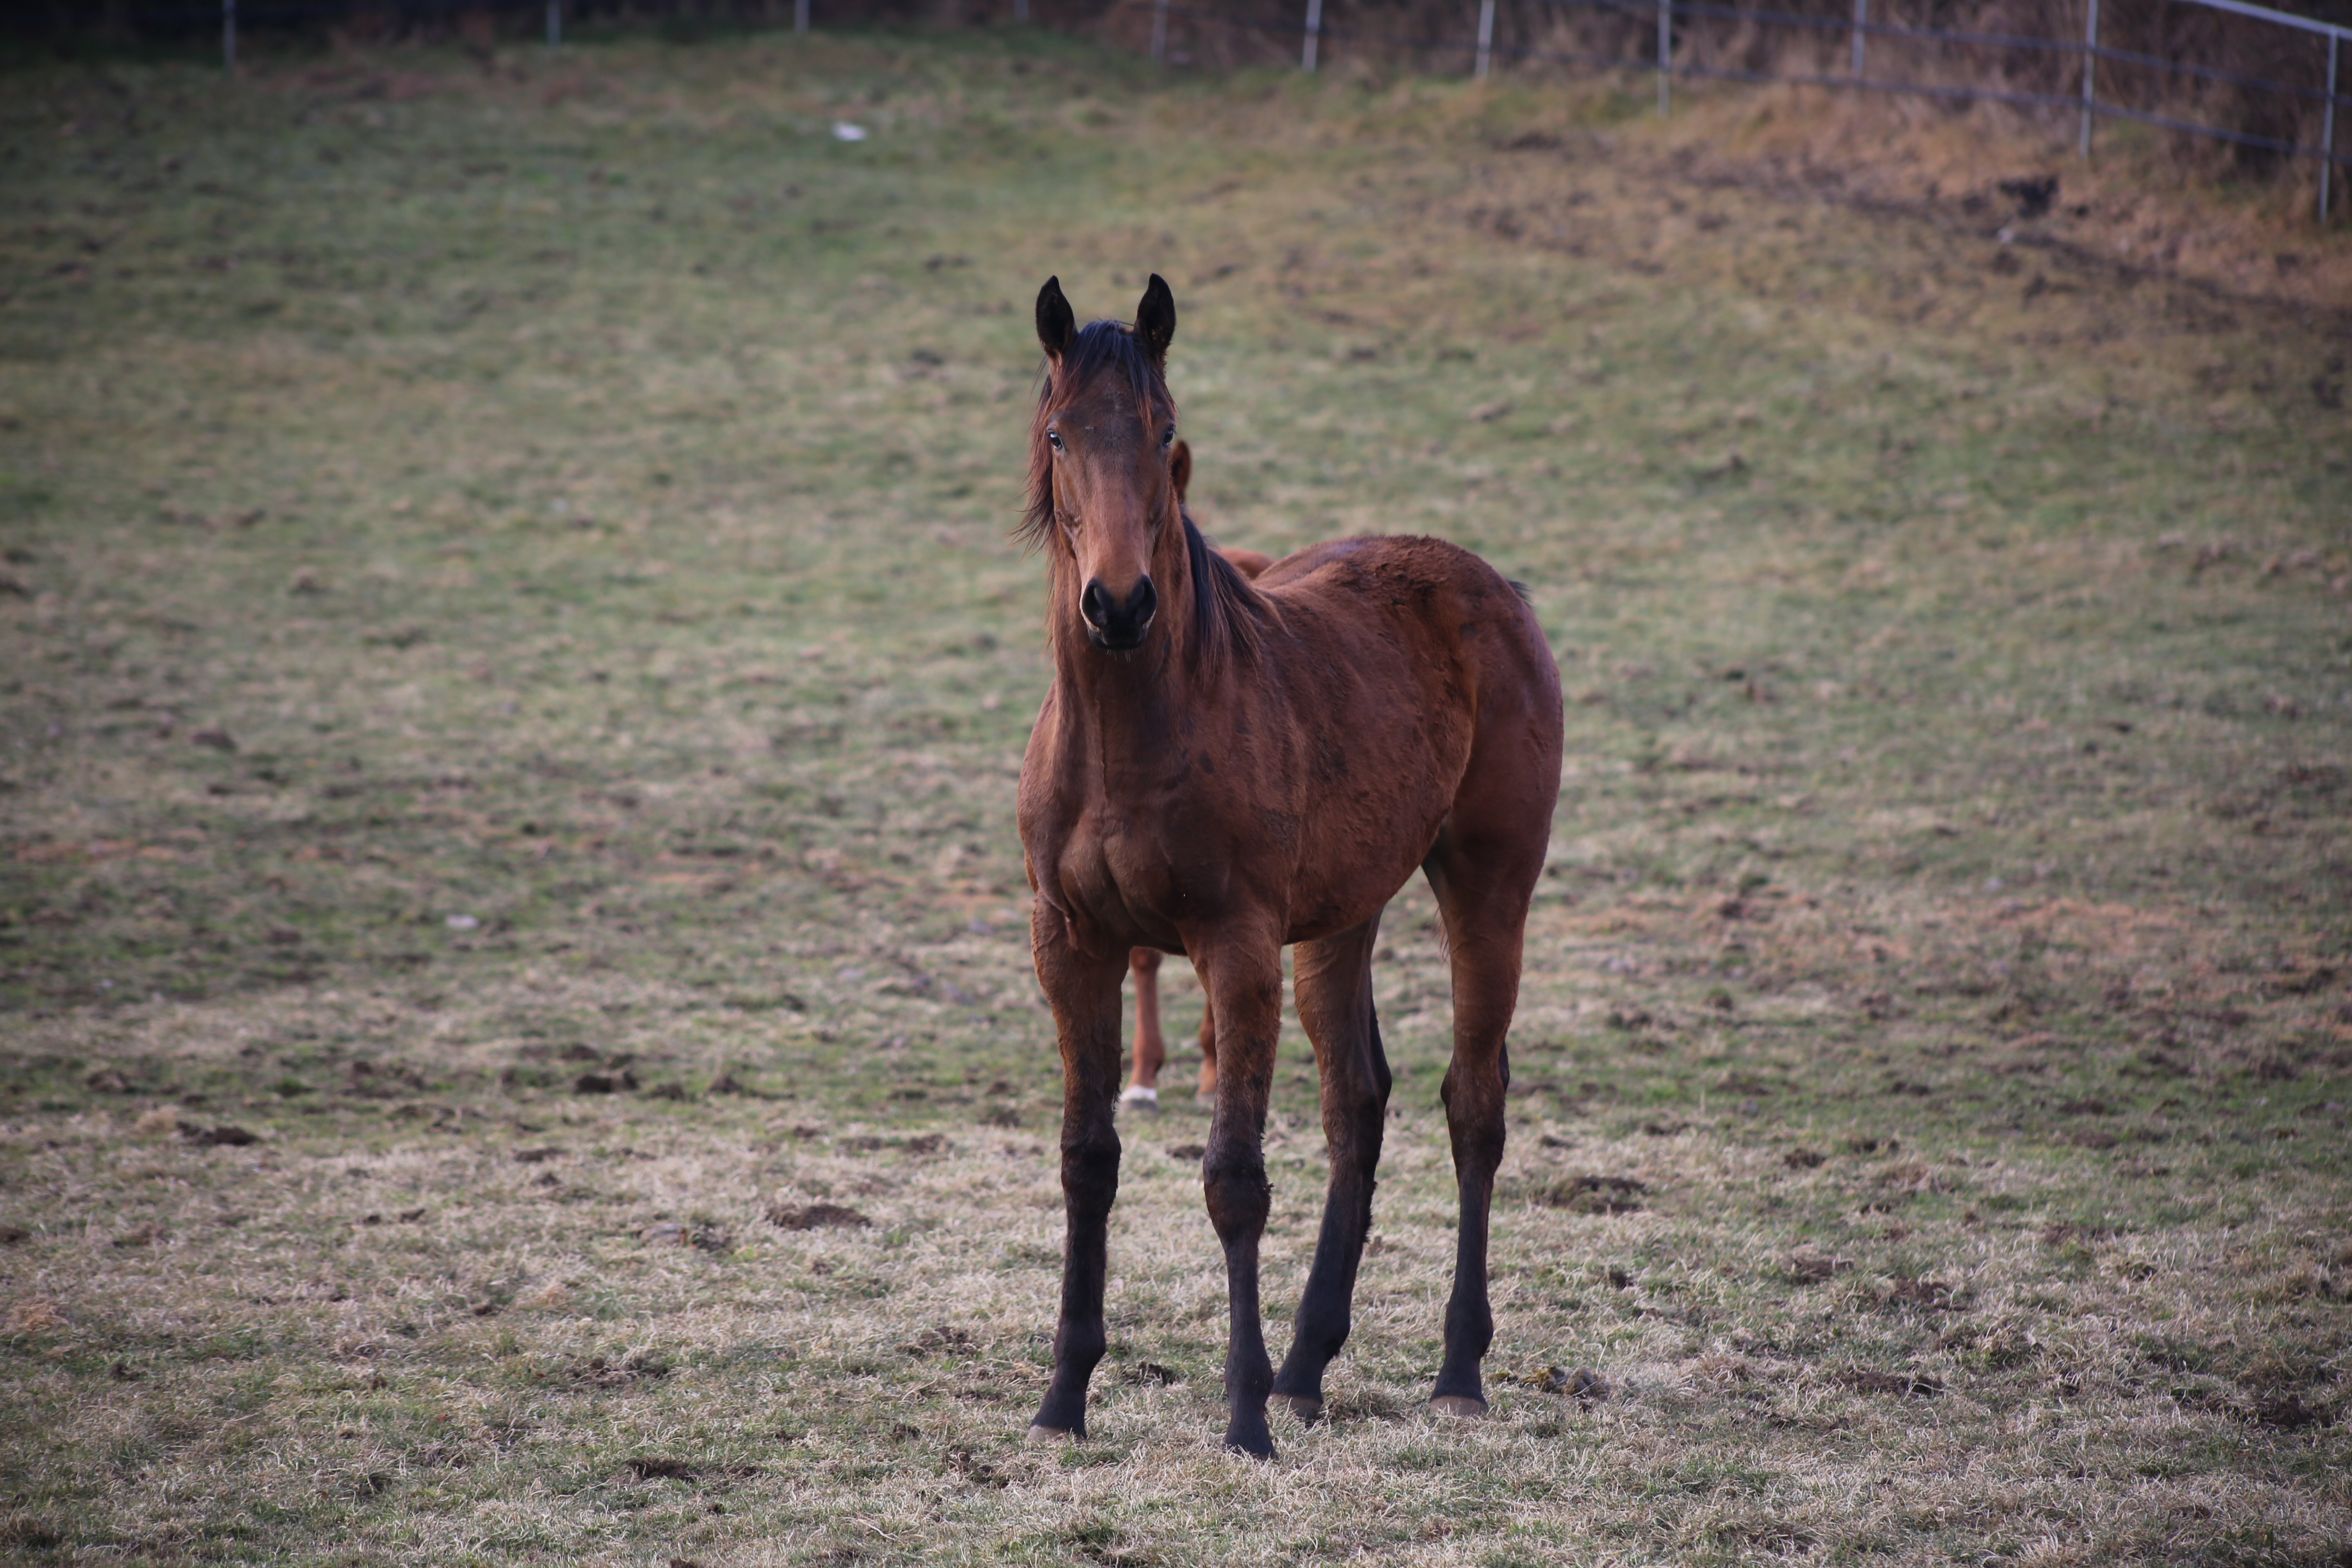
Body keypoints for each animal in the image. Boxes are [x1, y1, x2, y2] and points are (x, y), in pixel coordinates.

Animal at [1016, 272, 1552, 1457]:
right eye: (1060, 432)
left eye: (1163, 428)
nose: (1117, 603)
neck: (1134, 731)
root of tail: (1489, 584)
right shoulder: (1070, 941)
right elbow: (1085, 1160)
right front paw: (1064, 1397)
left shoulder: (1237, 946)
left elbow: (1234, 1180)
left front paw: (1243, 1417)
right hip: (1343, 918)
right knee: (1358, 1104)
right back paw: (1310, 1365)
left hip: (1488, 887)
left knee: (1473, 1102)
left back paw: (1454, 1370)